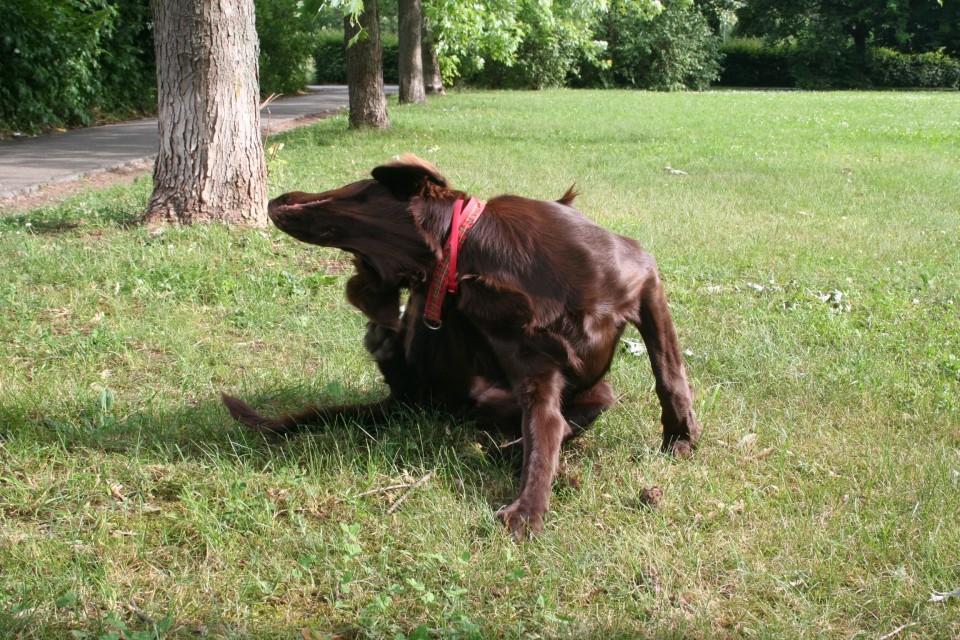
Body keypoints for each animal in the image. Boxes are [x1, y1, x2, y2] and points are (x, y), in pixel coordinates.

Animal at [225, 156, 704, 540]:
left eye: (358, 190)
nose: (278, 198)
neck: (480, 253)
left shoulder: (643, 280)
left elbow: (668, 373)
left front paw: (680, 437)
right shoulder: (532, 366)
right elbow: (544, 429)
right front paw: (530, 503)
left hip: (592, 389)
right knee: (416, 391)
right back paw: (387, 349)